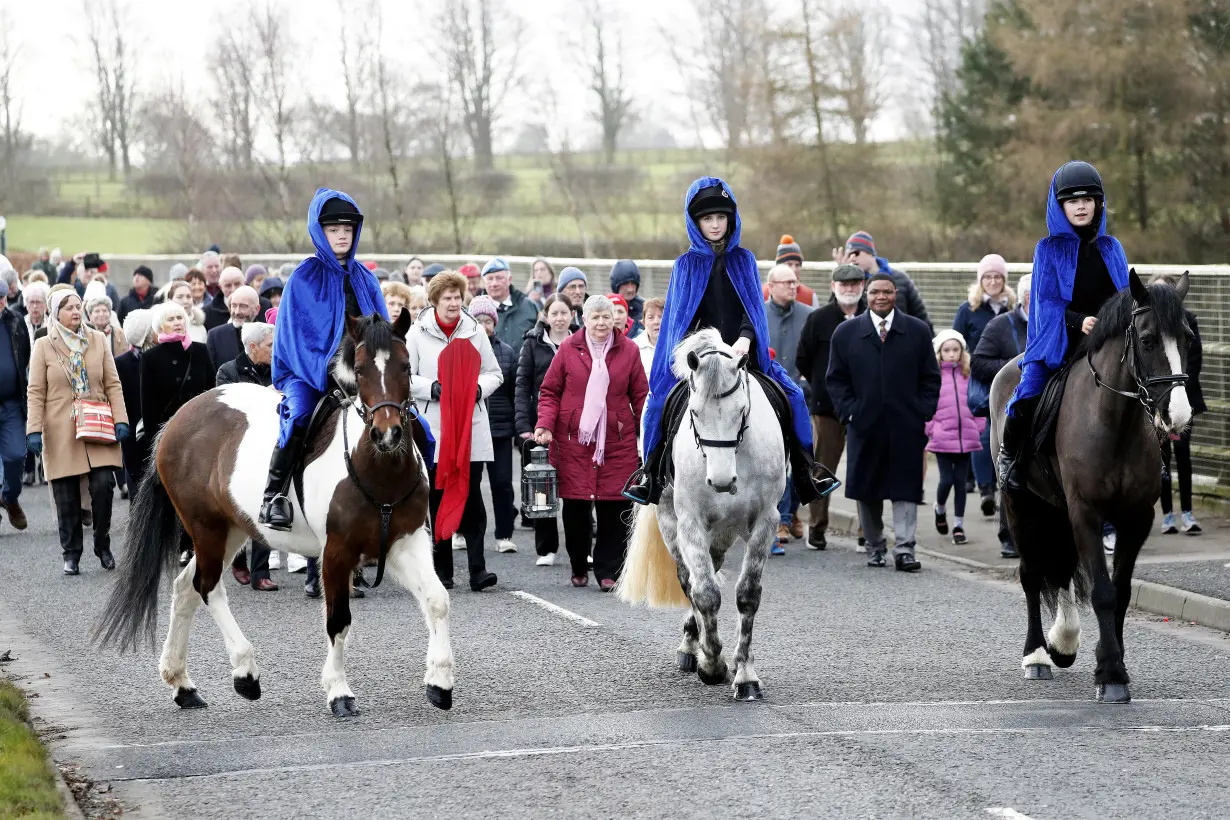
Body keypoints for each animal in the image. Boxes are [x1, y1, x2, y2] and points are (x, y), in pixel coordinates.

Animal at [94, 312, 452, 717]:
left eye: (406, 366)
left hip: (232, 528)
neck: (378, 468)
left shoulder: (404, 542)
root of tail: (177, 419)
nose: (387, 433)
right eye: (360, 370)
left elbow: (437, 600)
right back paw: (245, 672)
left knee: (186, 587)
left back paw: (182, 684)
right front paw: (339, 691)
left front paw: (440, 683)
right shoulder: (337, 551)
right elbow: (338, 621)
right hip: (206, 526)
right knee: (207, 587)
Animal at [619, 327, 782, 698]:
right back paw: (691, 649)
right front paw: (712, 664)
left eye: (741, 410)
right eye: (693, 412)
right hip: (672, 522)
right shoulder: (690, 523)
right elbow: (705, 593)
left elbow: (747, 595)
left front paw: (745, 674)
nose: (721, 481)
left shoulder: (766, 522)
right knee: (688, 580)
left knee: (711, 568)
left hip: (722, 532)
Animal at [988, 270, 1190, 708]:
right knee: (1032, 574)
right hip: (1020, 505)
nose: (1179, 415)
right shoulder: (1087, 512)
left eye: (1187, 338)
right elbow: (1102, 591)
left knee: (1061, 567)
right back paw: (1037, 655)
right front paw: (1111, 674)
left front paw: (1113, 661)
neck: (1116, 422)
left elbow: (1122, 591)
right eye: (1147, 340)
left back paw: (1064, 643)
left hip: (1056, 508)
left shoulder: (1135, 518)